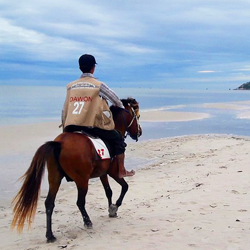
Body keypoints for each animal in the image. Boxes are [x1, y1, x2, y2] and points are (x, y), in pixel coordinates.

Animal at [10, 97, 142, 242]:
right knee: (80, 202)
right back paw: (87, 222)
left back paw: (50, 235)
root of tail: (60, 143)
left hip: (54, 178)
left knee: (49, 203)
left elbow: (109, 191)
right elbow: (125, 187)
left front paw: (111, 209)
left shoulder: (103, 174)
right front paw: (115, 207)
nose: (140, 132)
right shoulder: (113, 172)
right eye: (138, 116)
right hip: (82, 180)